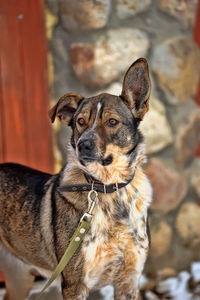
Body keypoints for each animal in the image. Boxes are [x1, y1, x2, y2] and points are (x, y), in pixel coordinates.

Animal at [0, 57, 152, 298]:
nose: (83, 145)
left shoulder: (128, 281)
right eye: (80, 121)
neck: (109, 189)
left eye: (112, 122)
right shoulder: (75, 284)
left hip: (19, 279)